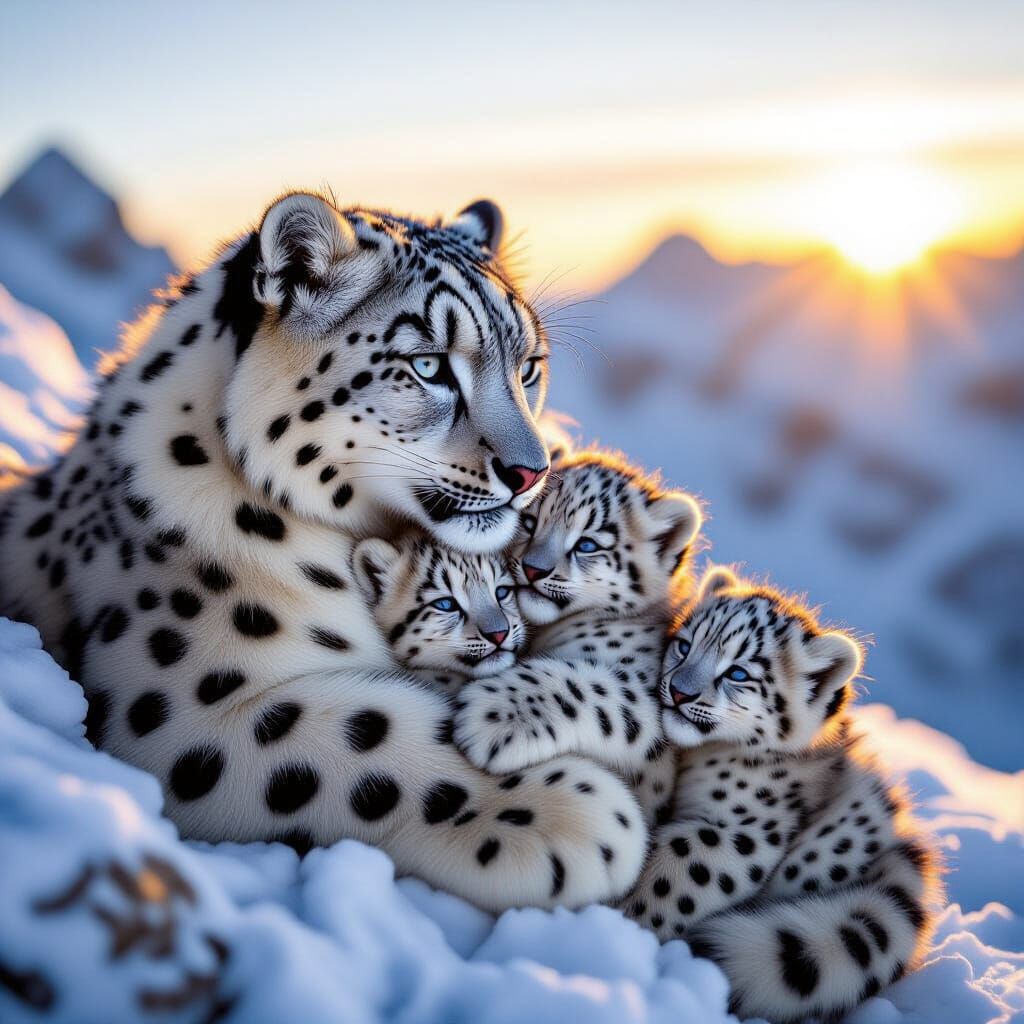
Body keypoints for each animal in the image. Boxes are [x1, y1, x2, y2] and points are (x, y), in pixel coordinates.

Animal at [0, 192, 648, 913]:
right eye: (429, 365)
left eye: (528, 368)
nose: (531, 472)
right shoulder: (172, 707)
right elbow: (357, 735)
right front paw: (573, 813)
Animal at [624, 565, 942, 1023]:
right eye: (683, 645)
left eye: (738, 673)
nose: (681, 691)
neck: (697, 761)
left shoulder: (746, 831)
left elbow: (675, 871)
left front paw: (627, 916)